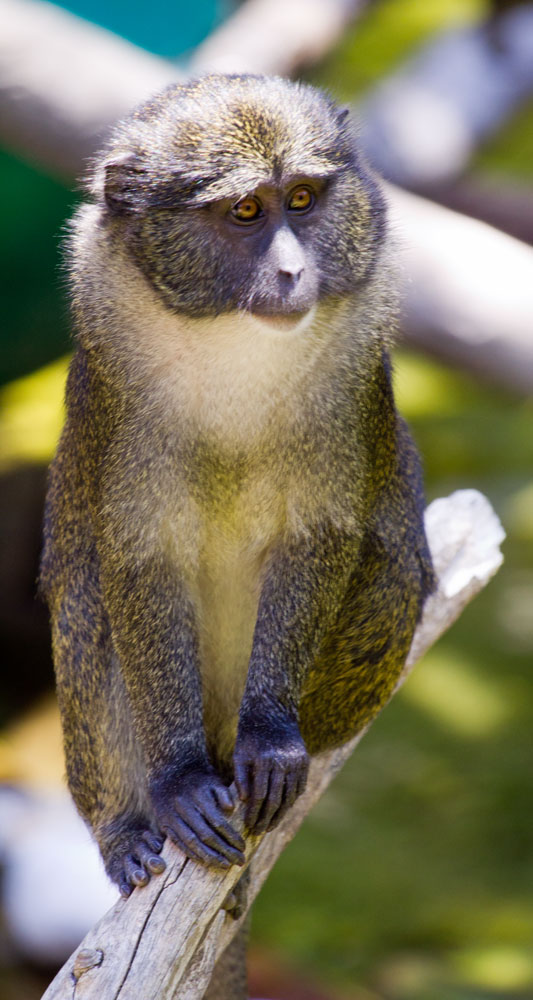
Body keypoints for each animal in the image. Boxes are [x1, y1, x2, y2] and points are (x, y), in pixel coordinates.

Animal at [40, 73, 435, 998]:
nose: (291, 270)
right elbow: (134, 564)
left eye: (303, 201)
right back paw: (129, 829)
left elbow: (321, 536)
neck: (226, 342)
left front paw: (273, 741)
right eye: (246, 213)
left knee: (392, 564)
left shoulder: (350, 380)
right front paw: (180, 783)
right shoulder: (117, 392)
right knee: (85, 601)